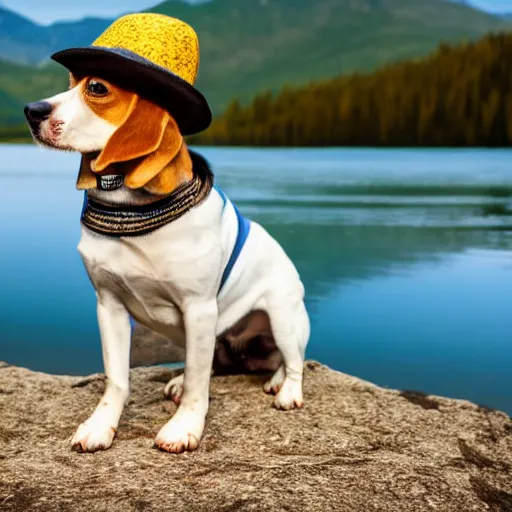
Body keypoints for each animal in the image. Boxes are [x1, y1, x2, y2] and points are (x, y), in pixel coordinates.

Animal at [24, 75, 310, 452]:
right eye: (71, 81)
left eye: (97, 88)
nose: (31, 110)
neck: (131, 210)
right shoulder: (109, 306)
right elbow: (117, 379)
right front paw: (100, 426)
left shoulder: (199, 309)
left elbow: (198, 387)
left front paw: (184, 427)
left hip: (282, 319)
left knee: (293, 360)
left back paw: (285, 388)